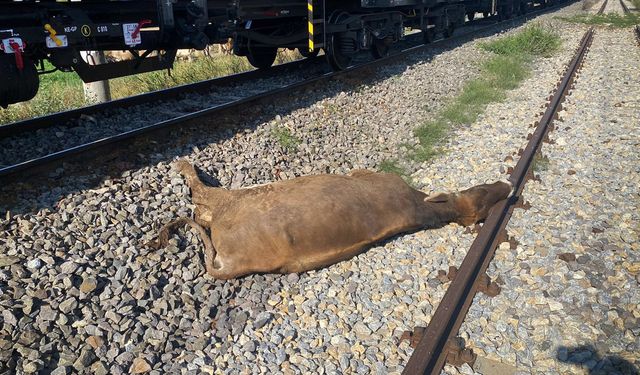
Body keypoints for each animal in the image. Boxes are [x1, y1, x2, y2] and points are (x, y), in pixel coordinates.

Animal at [149, 160, 510, 280]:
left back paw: (183, 166)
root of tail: (232, 263)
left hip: (229, 204)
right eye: (481, 192)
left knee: (200, 196)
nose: (507, 187)